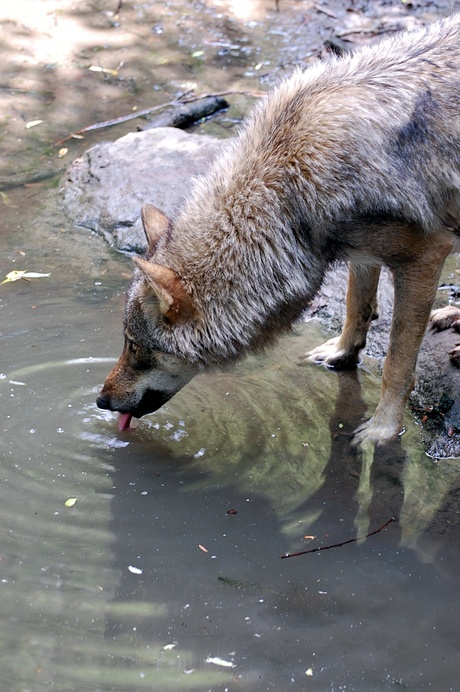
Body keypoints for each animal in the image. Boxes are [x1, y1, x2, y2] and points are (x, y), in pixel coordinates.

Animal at [97, 16, 460, 446]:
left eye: (135, 348)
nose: (100, 400)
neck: (286, 182)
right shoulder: (360, 250)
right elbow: (357, 305)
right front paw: (341, 354)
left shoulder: (424, 256)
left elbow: (396, 364)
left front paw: (383, 430)